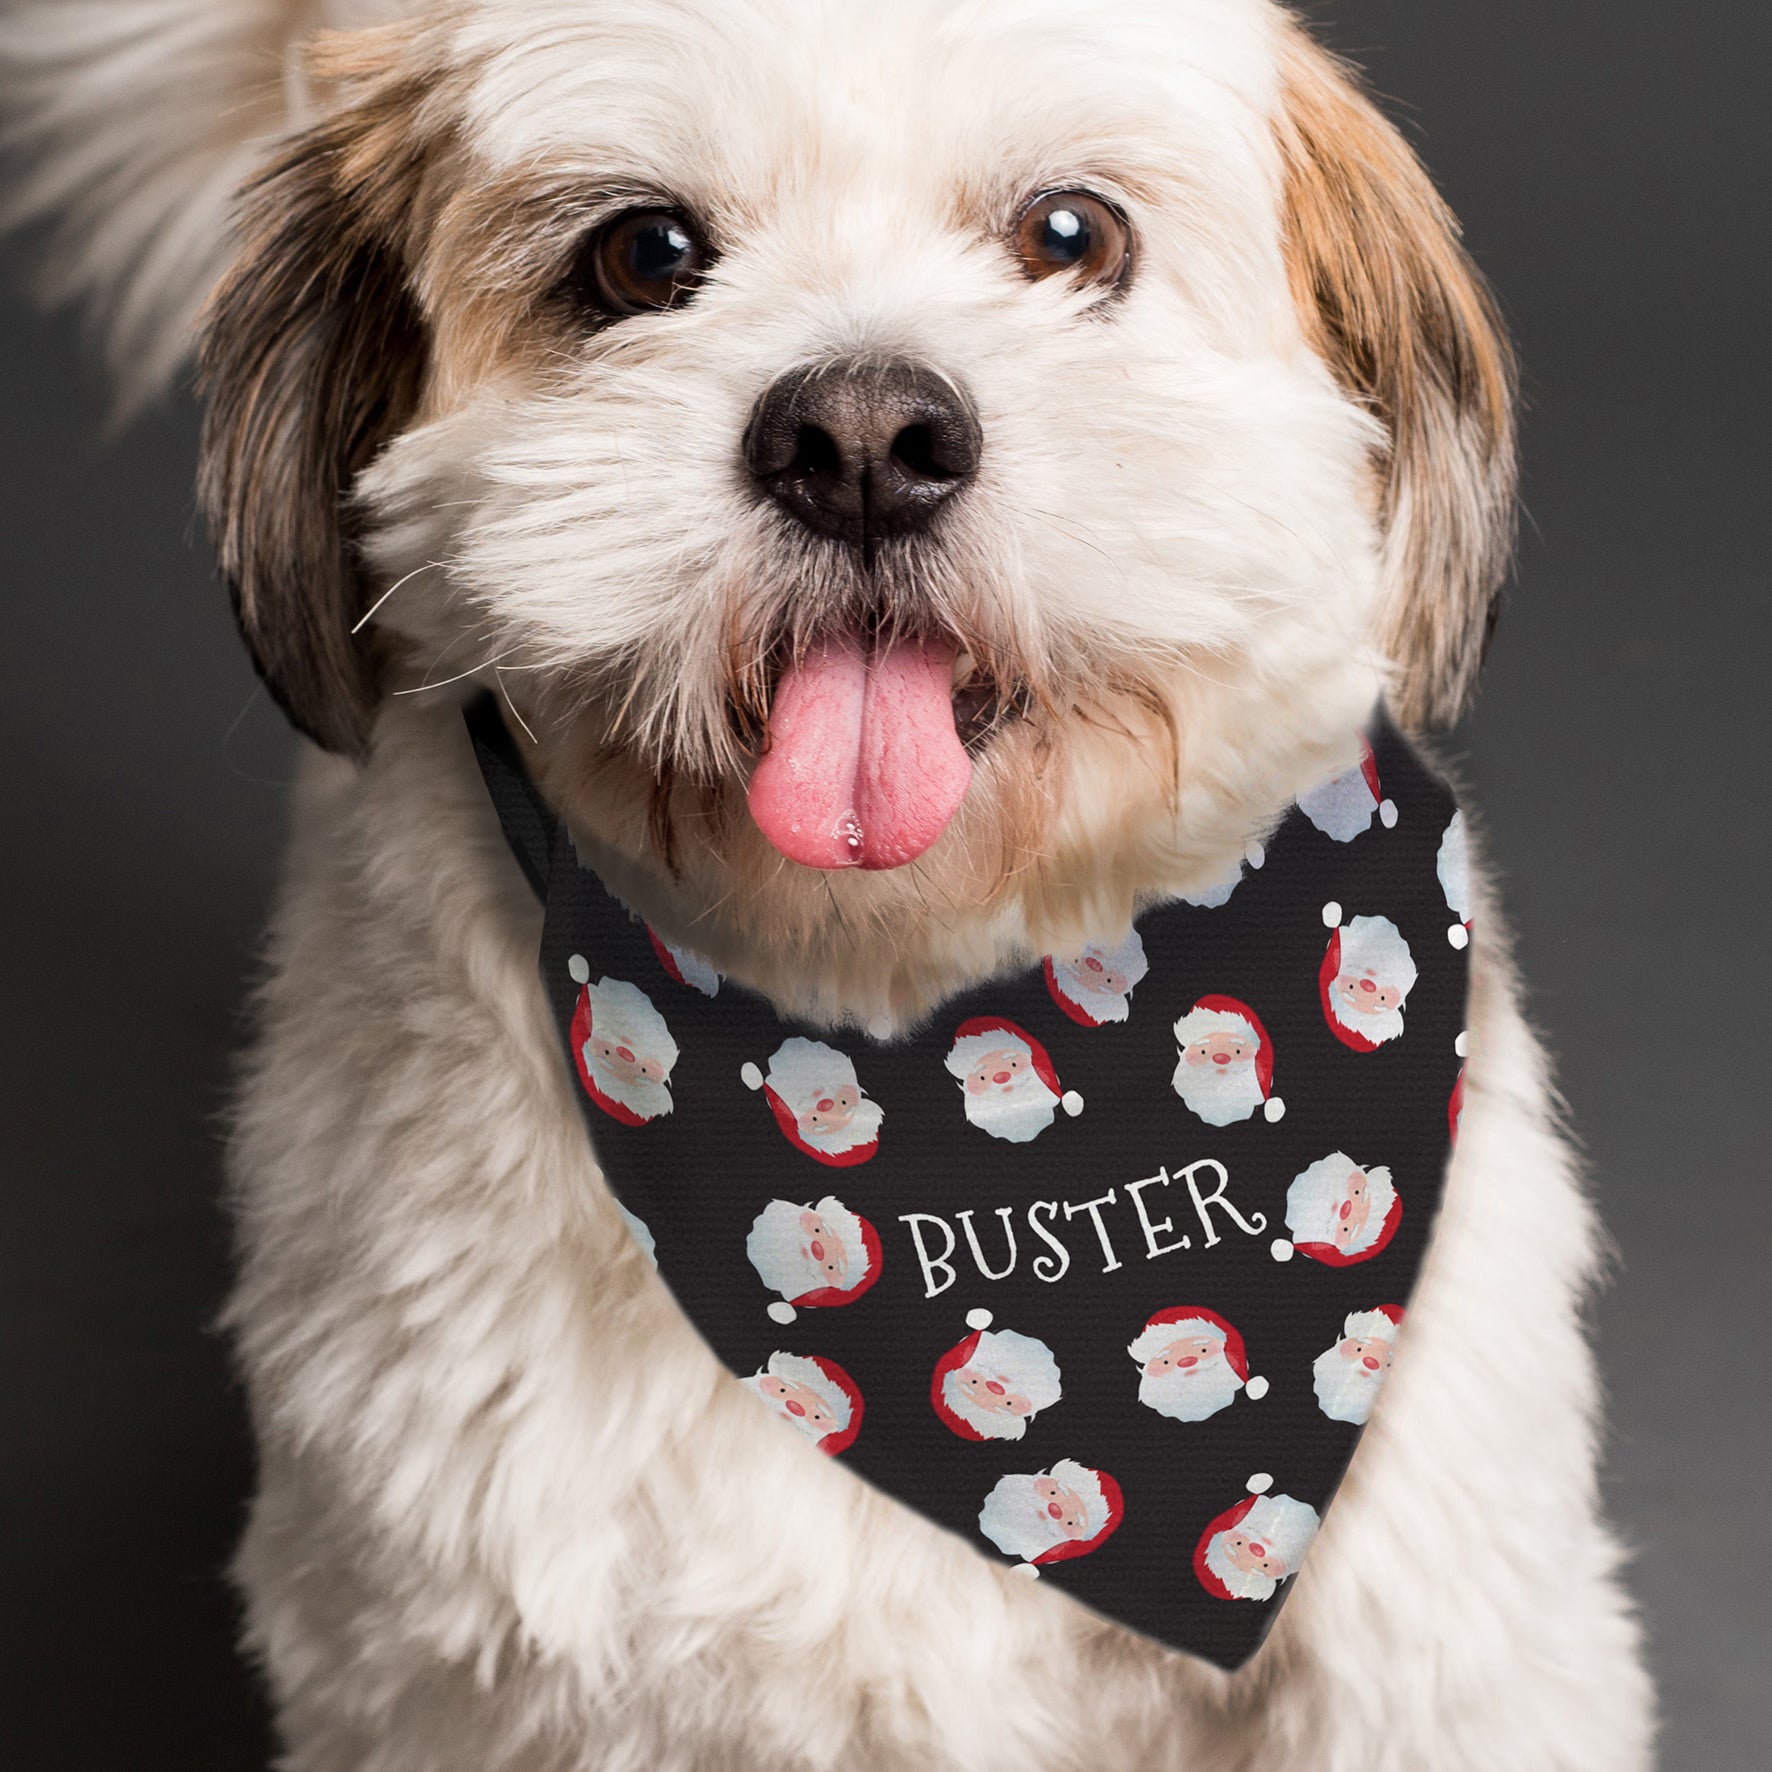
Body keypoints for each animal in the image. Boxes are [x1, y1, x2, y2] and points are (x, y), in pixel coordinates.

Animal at [3, 3, 1658, 1772]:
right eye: (645, 256)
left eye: (1069, 234)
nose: (862, 437)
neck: (913, 1038)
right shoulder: (453, 1668)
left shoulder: (1441, 1651)